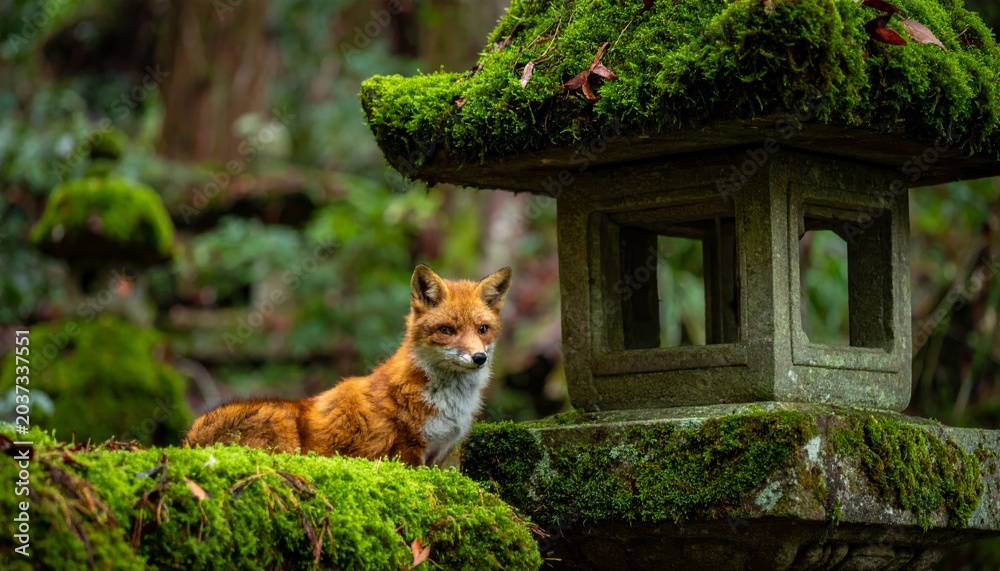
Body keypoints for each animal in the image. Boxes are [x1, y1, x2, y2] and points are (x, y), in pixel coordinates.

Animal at [184, 264, 512, 467]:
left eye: (483, 329)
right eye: (447, 330)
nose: (479, 358)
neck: (447, 402)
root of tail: (188, 440)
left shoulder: (437, 456)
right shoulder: (407, 451)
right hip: (281, 421)